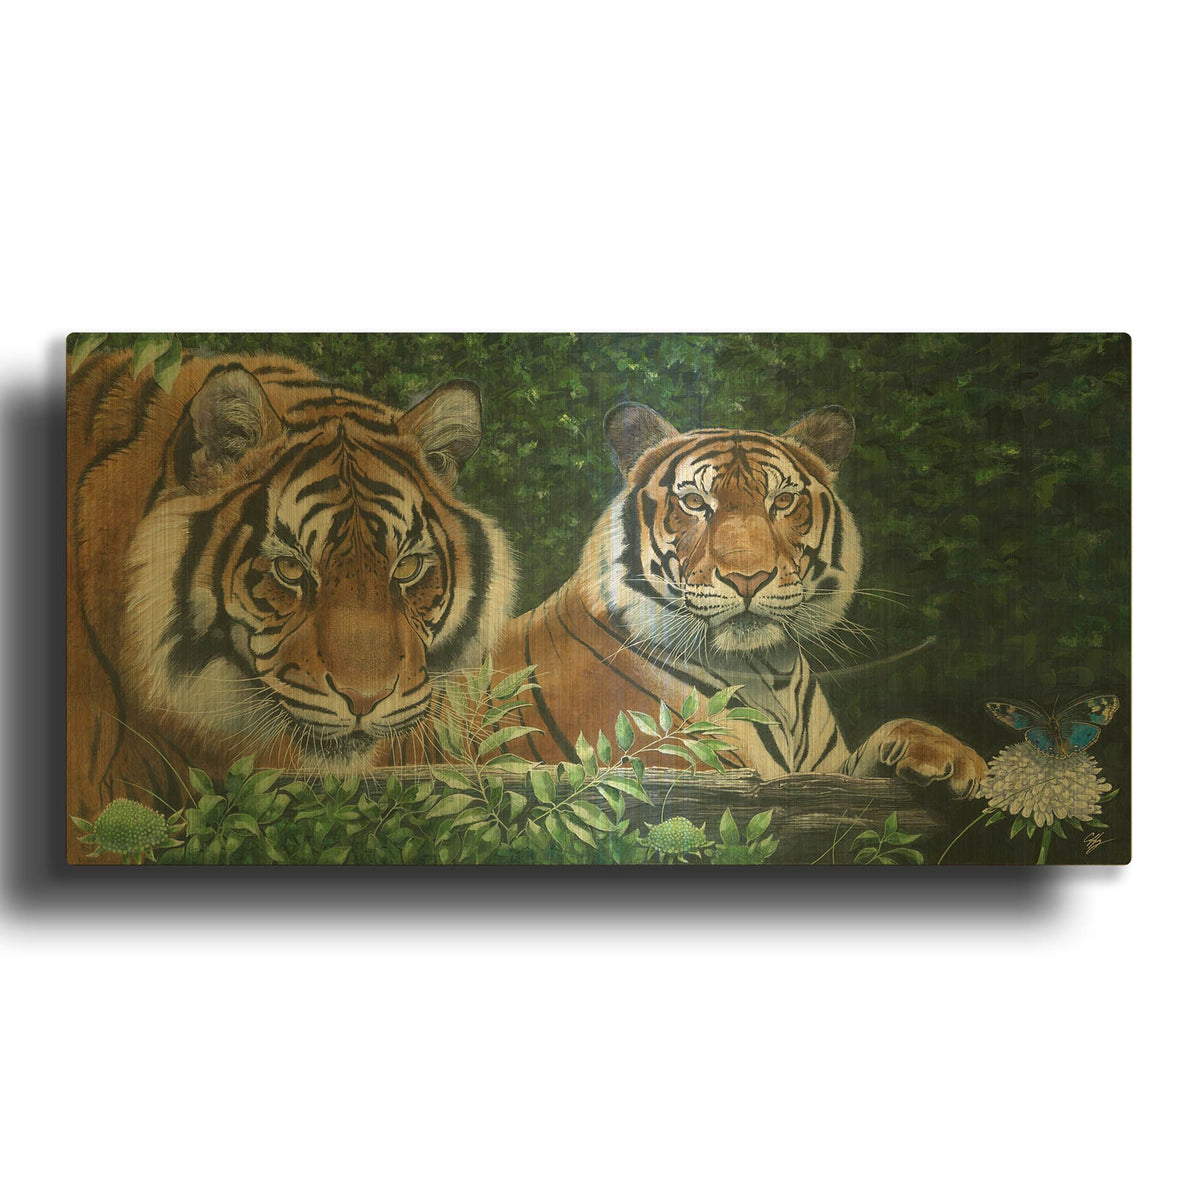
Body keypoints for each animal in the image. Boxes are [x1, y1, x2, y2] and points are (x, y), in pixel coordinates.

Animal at [490, 402, 985, 794]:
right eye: (694, 502)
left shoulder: (823, 772)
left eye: (782, 501)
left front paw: (953, 757)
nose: (749, 578)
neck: (770, 675)